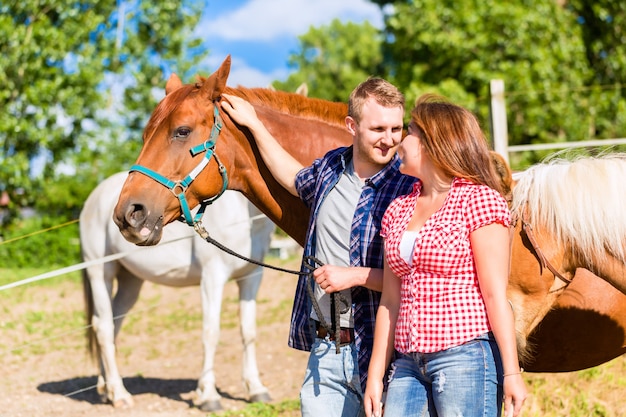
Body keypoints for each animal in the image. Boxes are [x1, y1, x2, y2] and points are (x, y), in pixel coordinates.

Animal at [78, 171, 272, 412]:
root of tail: (94, 198)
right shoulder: (212, 278)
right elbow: (211, 334)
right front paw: (209, 396)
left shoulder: (251, 277)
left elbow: (249, 331)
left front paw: (256, 389)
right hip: (100, 273)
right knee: (104, 328)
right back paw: (120, 395)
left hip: (130, 281)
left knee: (112, 325)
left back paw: (107, 390)